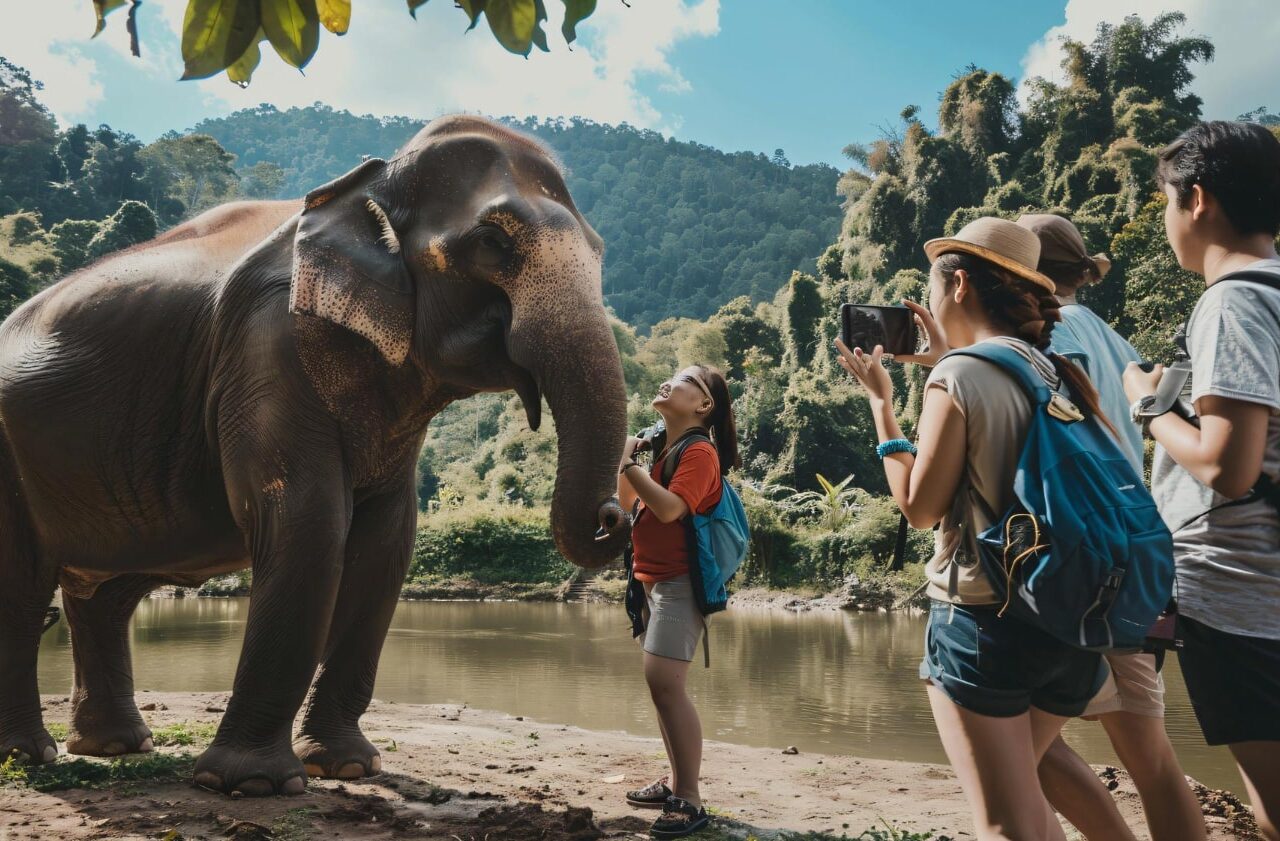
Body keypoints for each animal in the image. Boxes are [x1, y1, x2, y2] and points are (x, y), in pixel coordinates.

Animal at [0, 116, 629, 793]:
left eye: (599, 249)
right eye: (492, 242)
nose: (615, 515)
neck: (368, 186)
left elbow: (386, 542)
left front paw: (345, 765)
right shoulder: (266, 348)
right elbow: (308, 523)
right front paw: (252, 785)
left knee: (103, 595)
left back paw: (115, 747)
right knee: (23, 587)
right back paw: (28, 756)